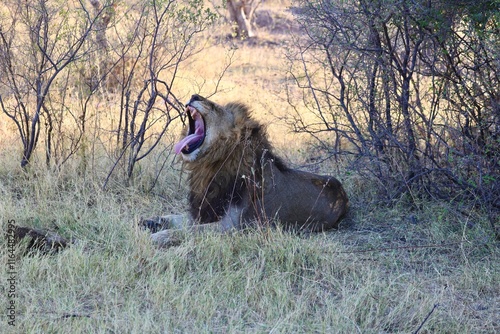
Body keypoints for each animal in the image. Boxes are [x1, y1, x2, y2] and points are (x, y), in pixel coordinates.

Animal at [143, 95, 350, 247]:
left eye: (215, 107)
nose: (194, 96)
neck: (209, 166)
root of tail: (342, 192)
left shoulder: (231, 226)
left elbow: (189, 230)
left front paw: (159, 236)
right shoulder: (205, 211)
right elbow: (176, 217)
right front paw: (150, 222)